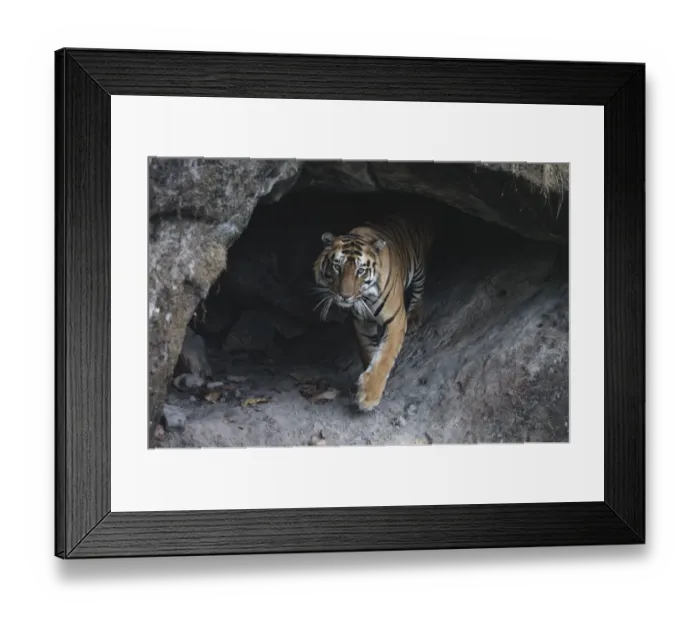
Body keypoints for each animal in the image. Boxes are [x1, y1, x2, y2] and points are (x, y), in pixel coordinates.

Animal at [312, 211, 435, 412]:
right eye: (337, 267)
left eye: (360, 271)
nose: (345, 296)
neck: (366, 298)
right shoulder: (361, 323)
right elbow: (369, 352)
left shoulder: (396, 320)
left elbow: (384, 356)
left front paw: (369, 396)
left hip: (417, 264)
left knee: (420, 284)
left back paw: (415, 315)